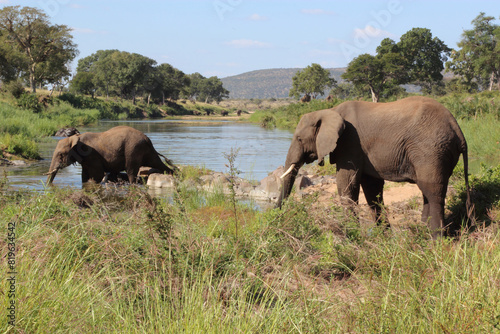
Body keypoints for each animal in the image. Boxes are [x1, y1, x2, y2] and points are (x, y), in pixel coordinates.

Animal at [45, 125, 178, 185]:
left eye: (61, 155)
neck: (75, 138)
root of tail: (147, 139)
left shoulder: (92, 155)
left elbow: (97, 175)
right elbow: (84, 175)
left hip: (133, 149)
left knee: (131, 171)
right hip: (145, 150)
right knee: (156, 162)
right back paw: (175, 174)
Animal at [278, 95, 472, 239]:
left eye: (299, 139)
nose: (279, 214)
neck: (329, 111)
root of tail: (458, 129)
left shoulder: (350, 143)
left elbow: (347, 184)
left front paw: (349, 235)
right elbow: (372, 188)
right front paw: (383, 236)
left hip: (431, 150)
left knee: (433, 191)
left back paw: (436, 239)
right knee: (427, 191)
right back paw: (422, 231)